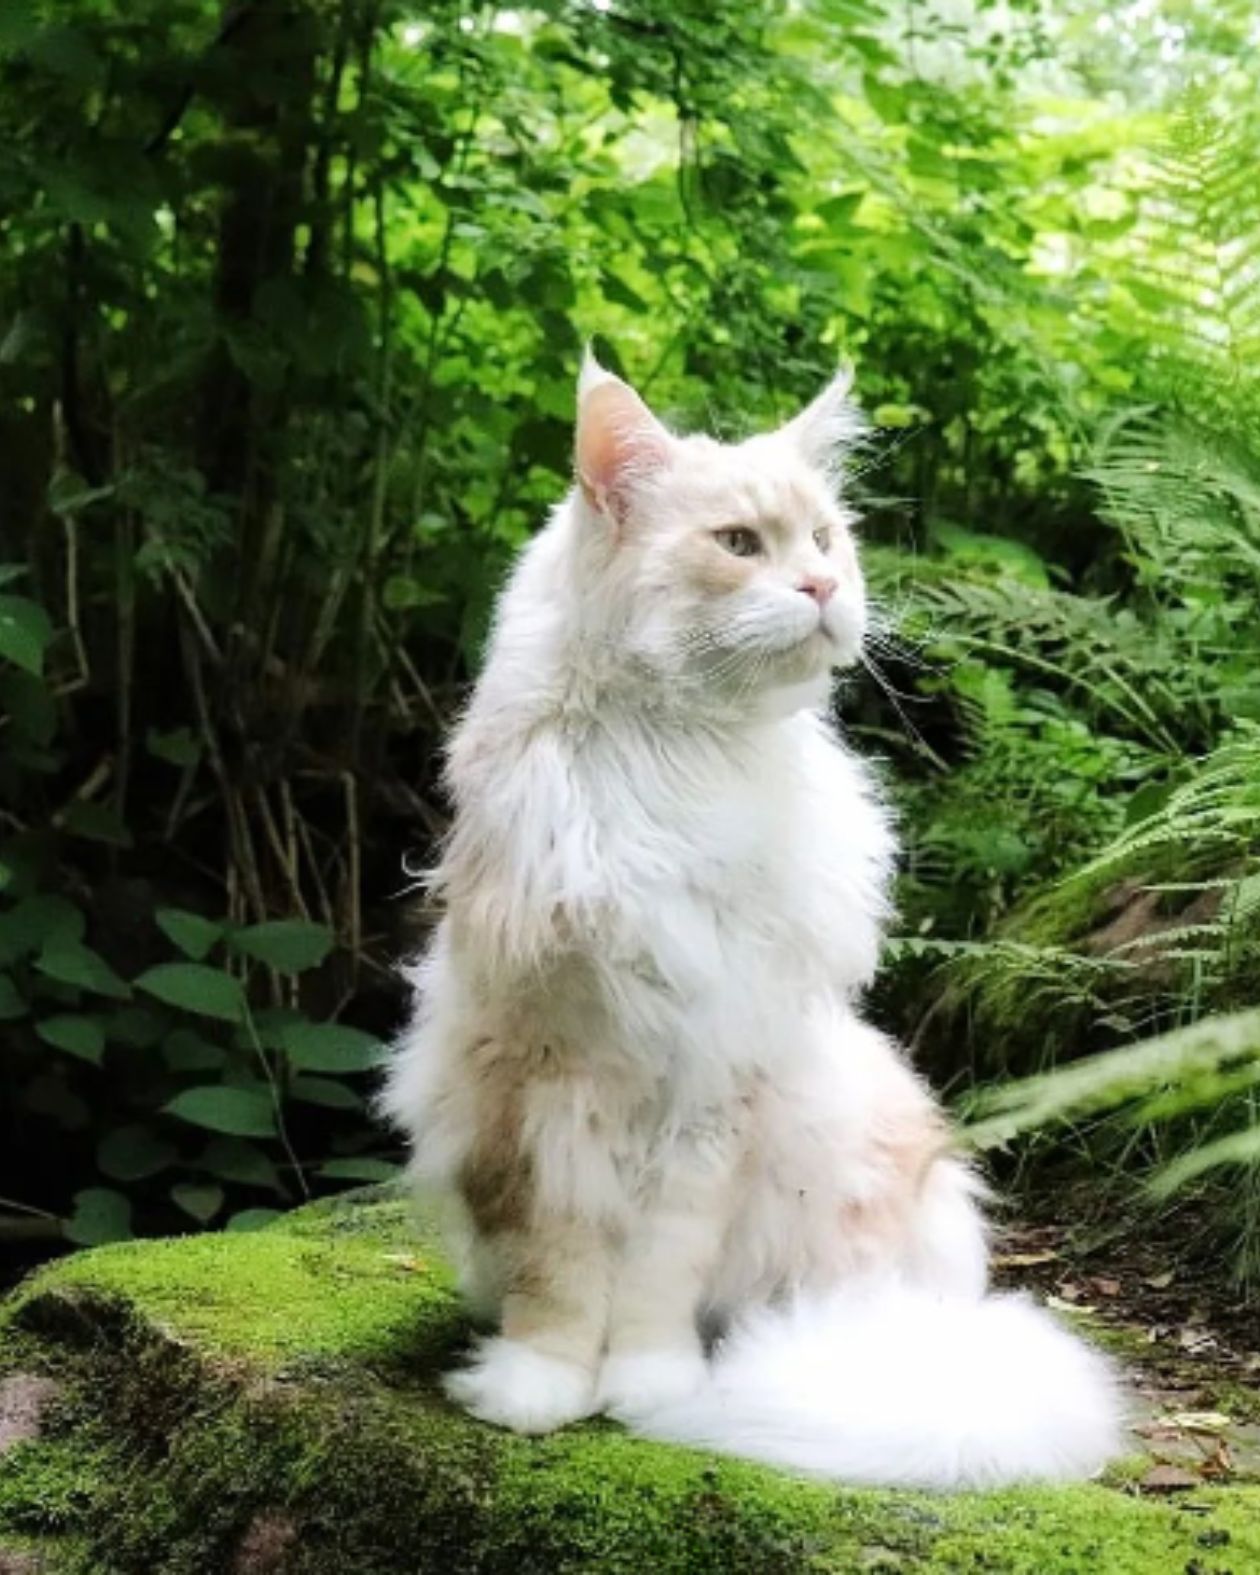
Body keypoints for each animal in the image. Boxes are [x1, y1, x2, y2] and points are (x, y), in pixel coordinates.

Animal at [379, 357, 1115, 1486]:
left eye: (823, 540)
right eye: (736, 545)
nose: (822, 590)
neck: (681, 755)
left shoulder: (712, 1082)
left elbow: (655, 1276)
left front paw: (648, 1388)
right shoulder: (548, 1081)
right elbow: (560, 1271)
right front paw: (539, 1388)